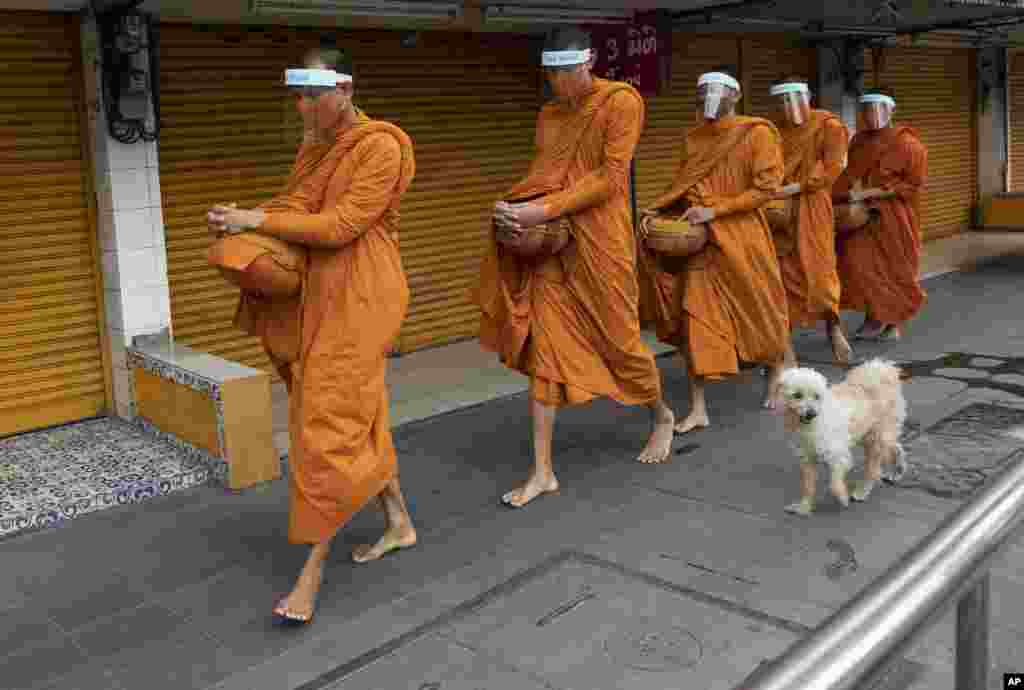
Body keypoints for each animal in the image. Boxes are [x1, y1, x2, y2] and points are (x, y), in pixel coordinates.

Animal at [770, 358, 909, 513]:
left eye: (817, 396)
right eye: (797, 395)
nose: (811, 413)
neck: (812, 424)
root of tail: (881, 370)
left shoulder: (838, 455)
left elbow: (834, 483)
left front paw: (842, 497)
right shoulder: (807, 459)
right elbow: (808, 486)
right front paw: (804, 506)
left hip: (876, 439)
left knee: (873, 469)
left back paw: (862, 491)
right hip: (872, 435)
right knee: (896, 447)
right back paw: (898, 470)